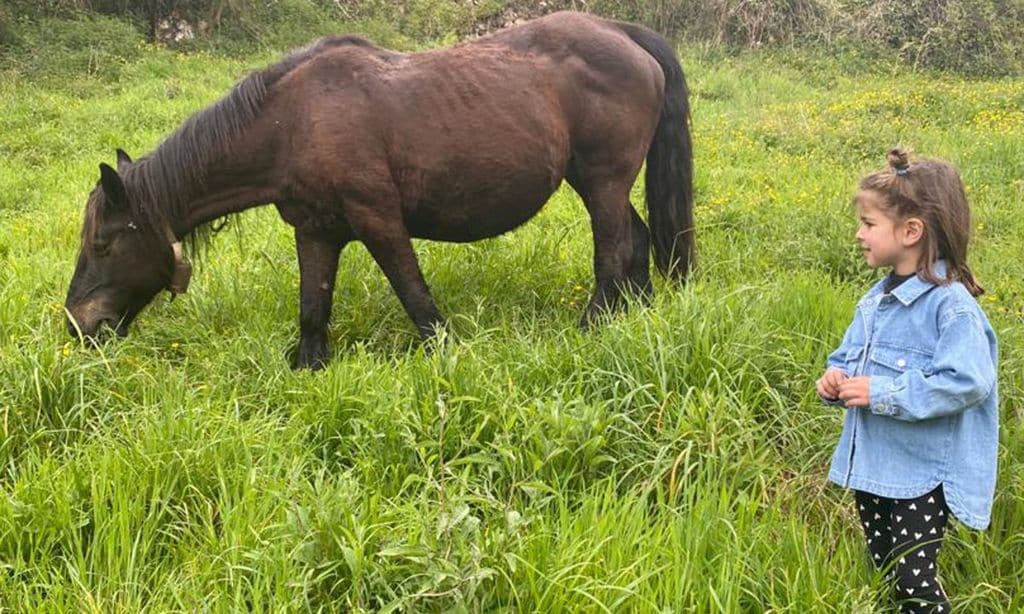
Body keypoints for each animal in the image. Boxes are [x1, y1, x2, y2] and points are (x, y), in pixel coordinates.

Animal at [66, 10, 696, 368]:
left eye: (102, 244)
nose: (77, 325)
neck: (294, 123)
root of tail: (621, 32)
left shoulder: (379, 222)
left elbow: (416, 298)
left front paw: (447, 356)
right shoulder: (316, 232)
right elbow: (313, 309)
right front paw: (309, 368)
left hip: (602, 184)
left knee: (612, 253)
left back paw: (592, 327)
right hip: (603, 185)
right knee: (638, 243)